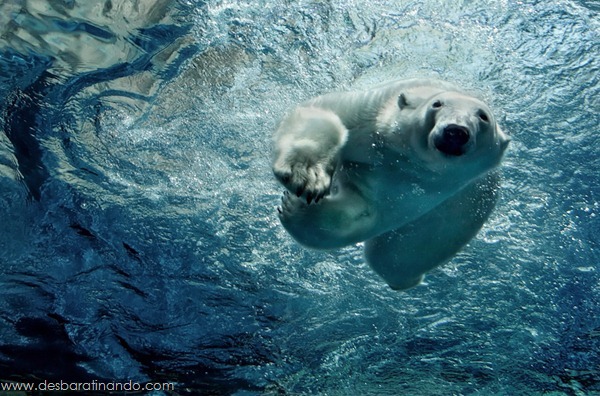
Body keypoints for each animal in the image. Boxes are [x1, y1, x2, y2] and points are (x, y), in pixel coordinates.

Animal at [274, 79, 510, 290]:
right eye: (437, 104)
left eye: (483, 116)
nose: (455, 131)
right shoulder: (370, 116)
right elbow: (322, 114)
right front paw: (306, 177)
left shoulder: (419, 190)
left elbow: (365, 213)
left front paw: (294, 207)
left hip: (463, 211)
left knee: (394, 258)